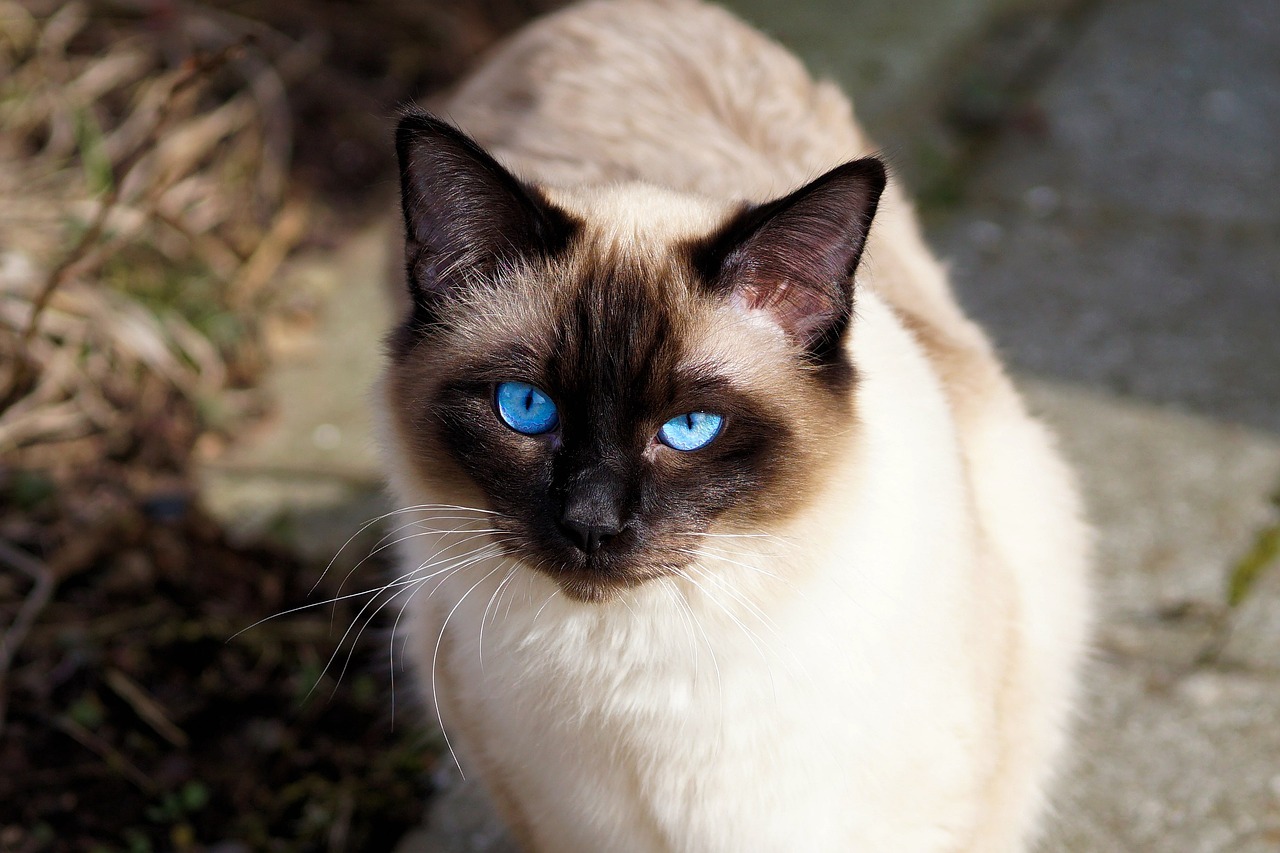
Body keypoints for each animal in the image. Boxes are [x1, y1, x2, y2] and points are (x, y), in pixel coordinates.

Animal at [373, 1, 1095, 850]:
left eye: (690, 427)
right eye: (525, 408)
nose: (591, 523)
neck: (647, 669)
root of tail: (610, 12)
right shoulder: (560, 822)